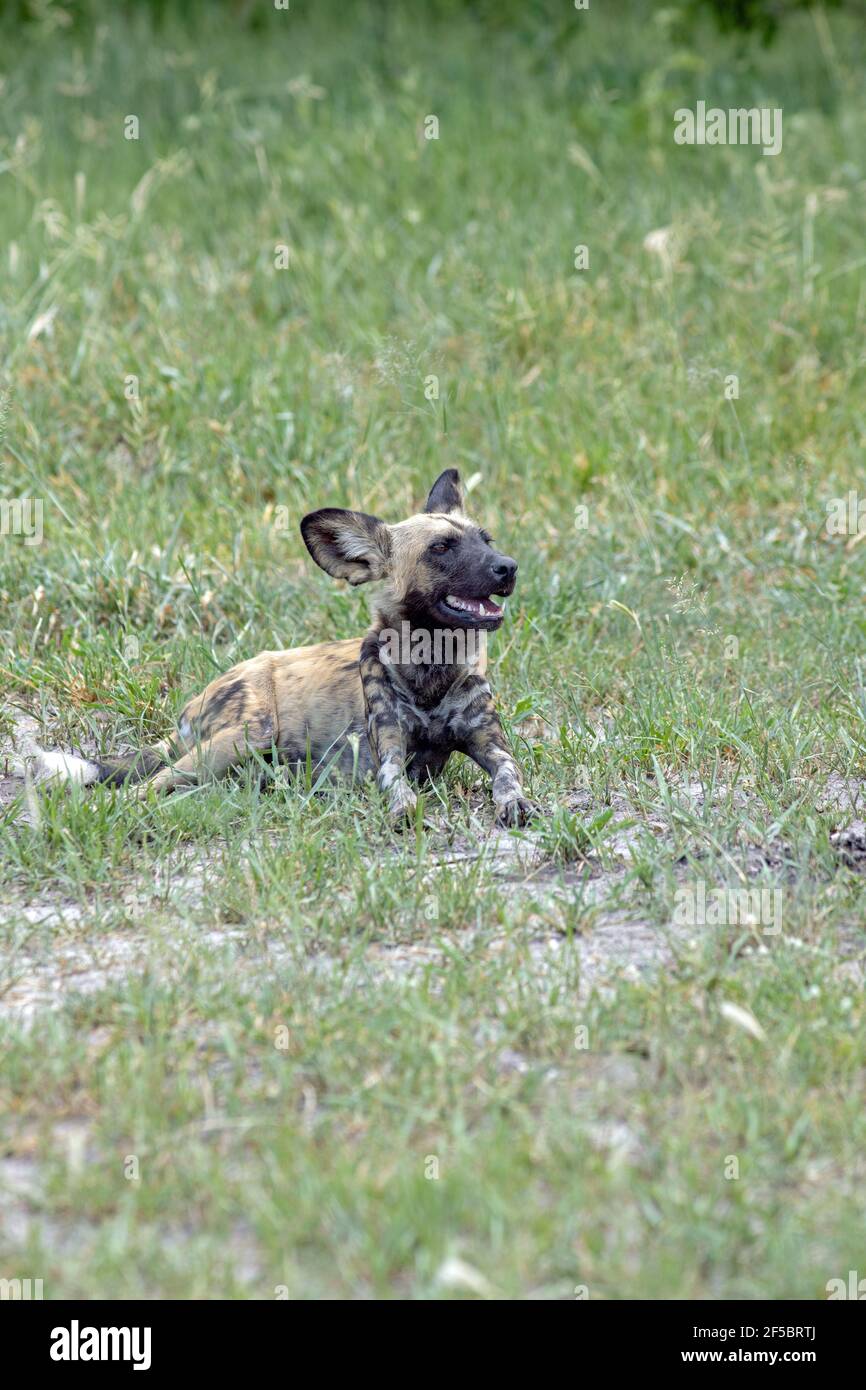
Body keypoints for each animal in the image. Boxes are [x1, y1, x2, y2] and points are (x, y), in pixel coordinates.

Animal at [28, 472, 536, 828]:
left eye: (485, 541)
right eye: (441, 548)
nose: (508, 566)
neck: (433, 667)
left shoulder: (490, 745)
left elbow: (509, 776)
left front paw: (516, 803)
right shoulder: (390, 754)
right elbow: (399, 791)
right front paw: (402, 812)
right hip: (243, 737)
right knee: (148, 786)